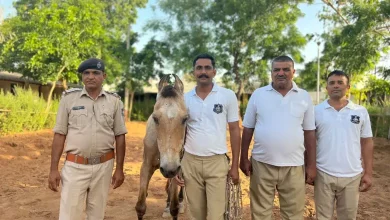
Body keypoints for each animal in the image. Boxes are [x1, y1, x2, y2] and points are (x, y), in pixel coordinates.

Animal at [135, 74, 188, 220]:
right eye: (155, 118)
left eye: (185, 118)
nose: (169, 168)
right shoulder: (146, 166)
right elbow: (140, 206)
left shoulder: (176, 168)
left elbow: (175, 209)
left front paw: (175, 206)